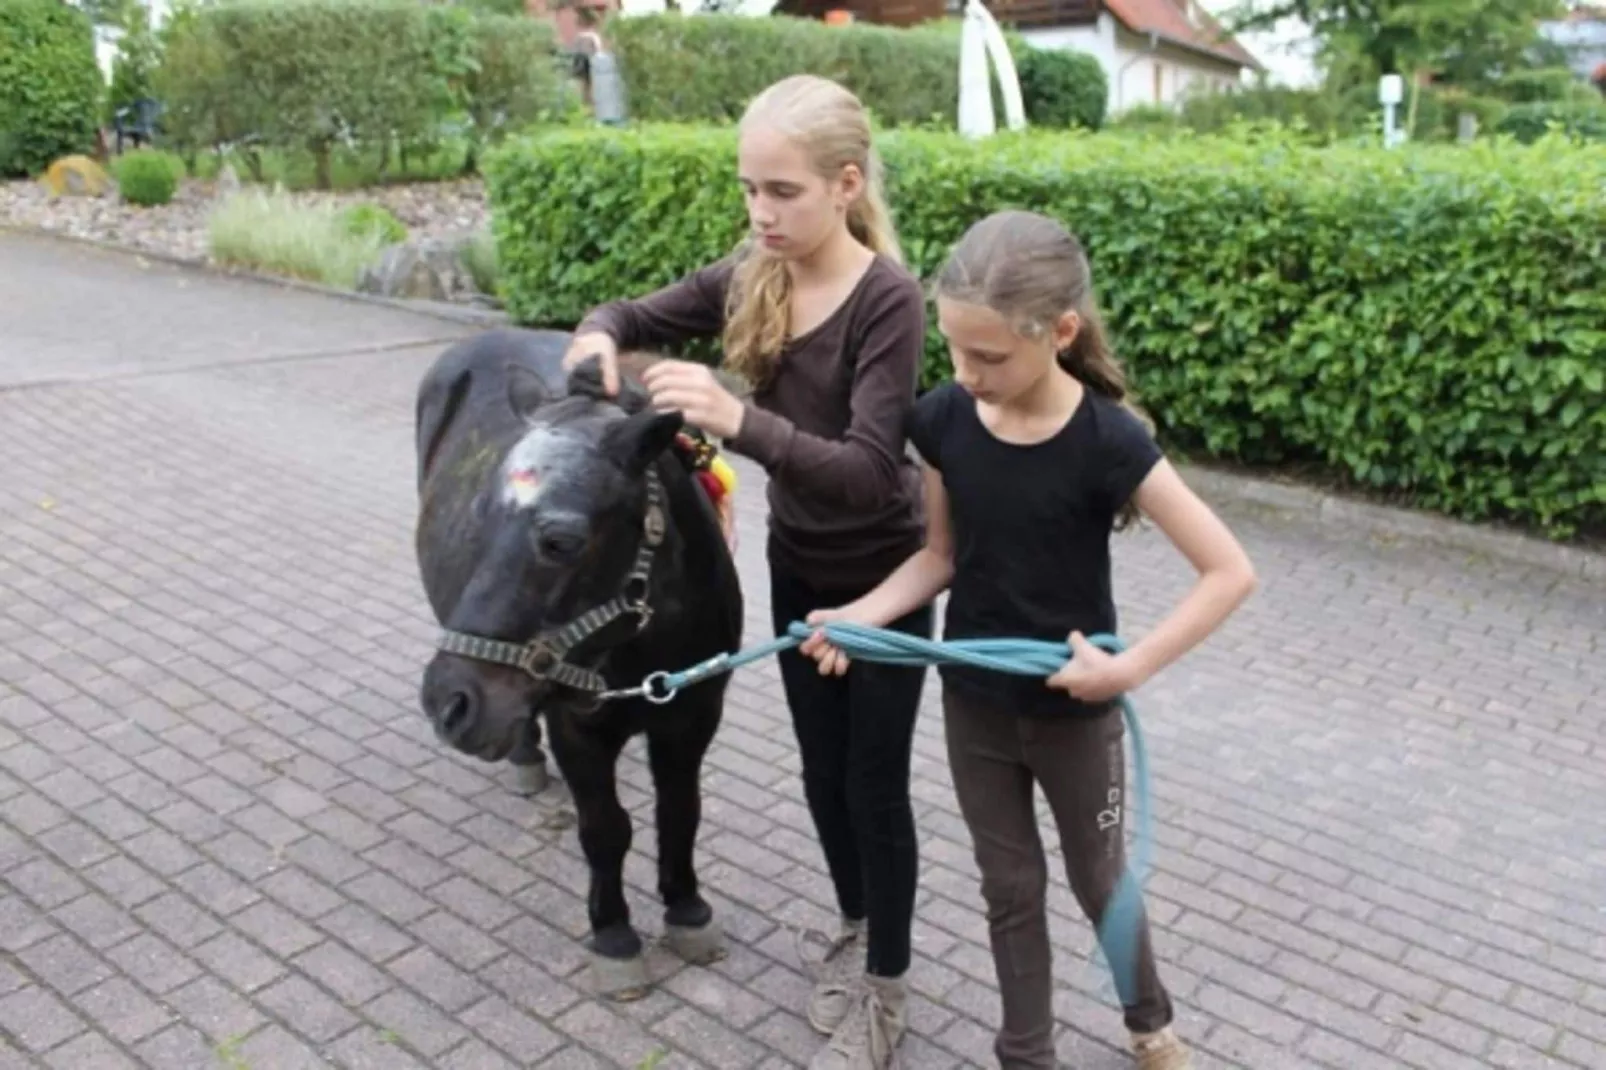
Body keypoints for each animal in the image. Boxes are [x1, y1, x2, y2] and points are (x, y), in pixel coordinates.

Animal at [411, 329, 741, 996]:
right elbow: (606, 828)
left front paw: (686, 908)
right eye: (478, 517)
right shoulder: (576, 726)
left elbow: (680, 812)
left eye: (560, 540)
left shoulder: (693, 719)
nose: (449, 702)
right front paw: (613, 934)